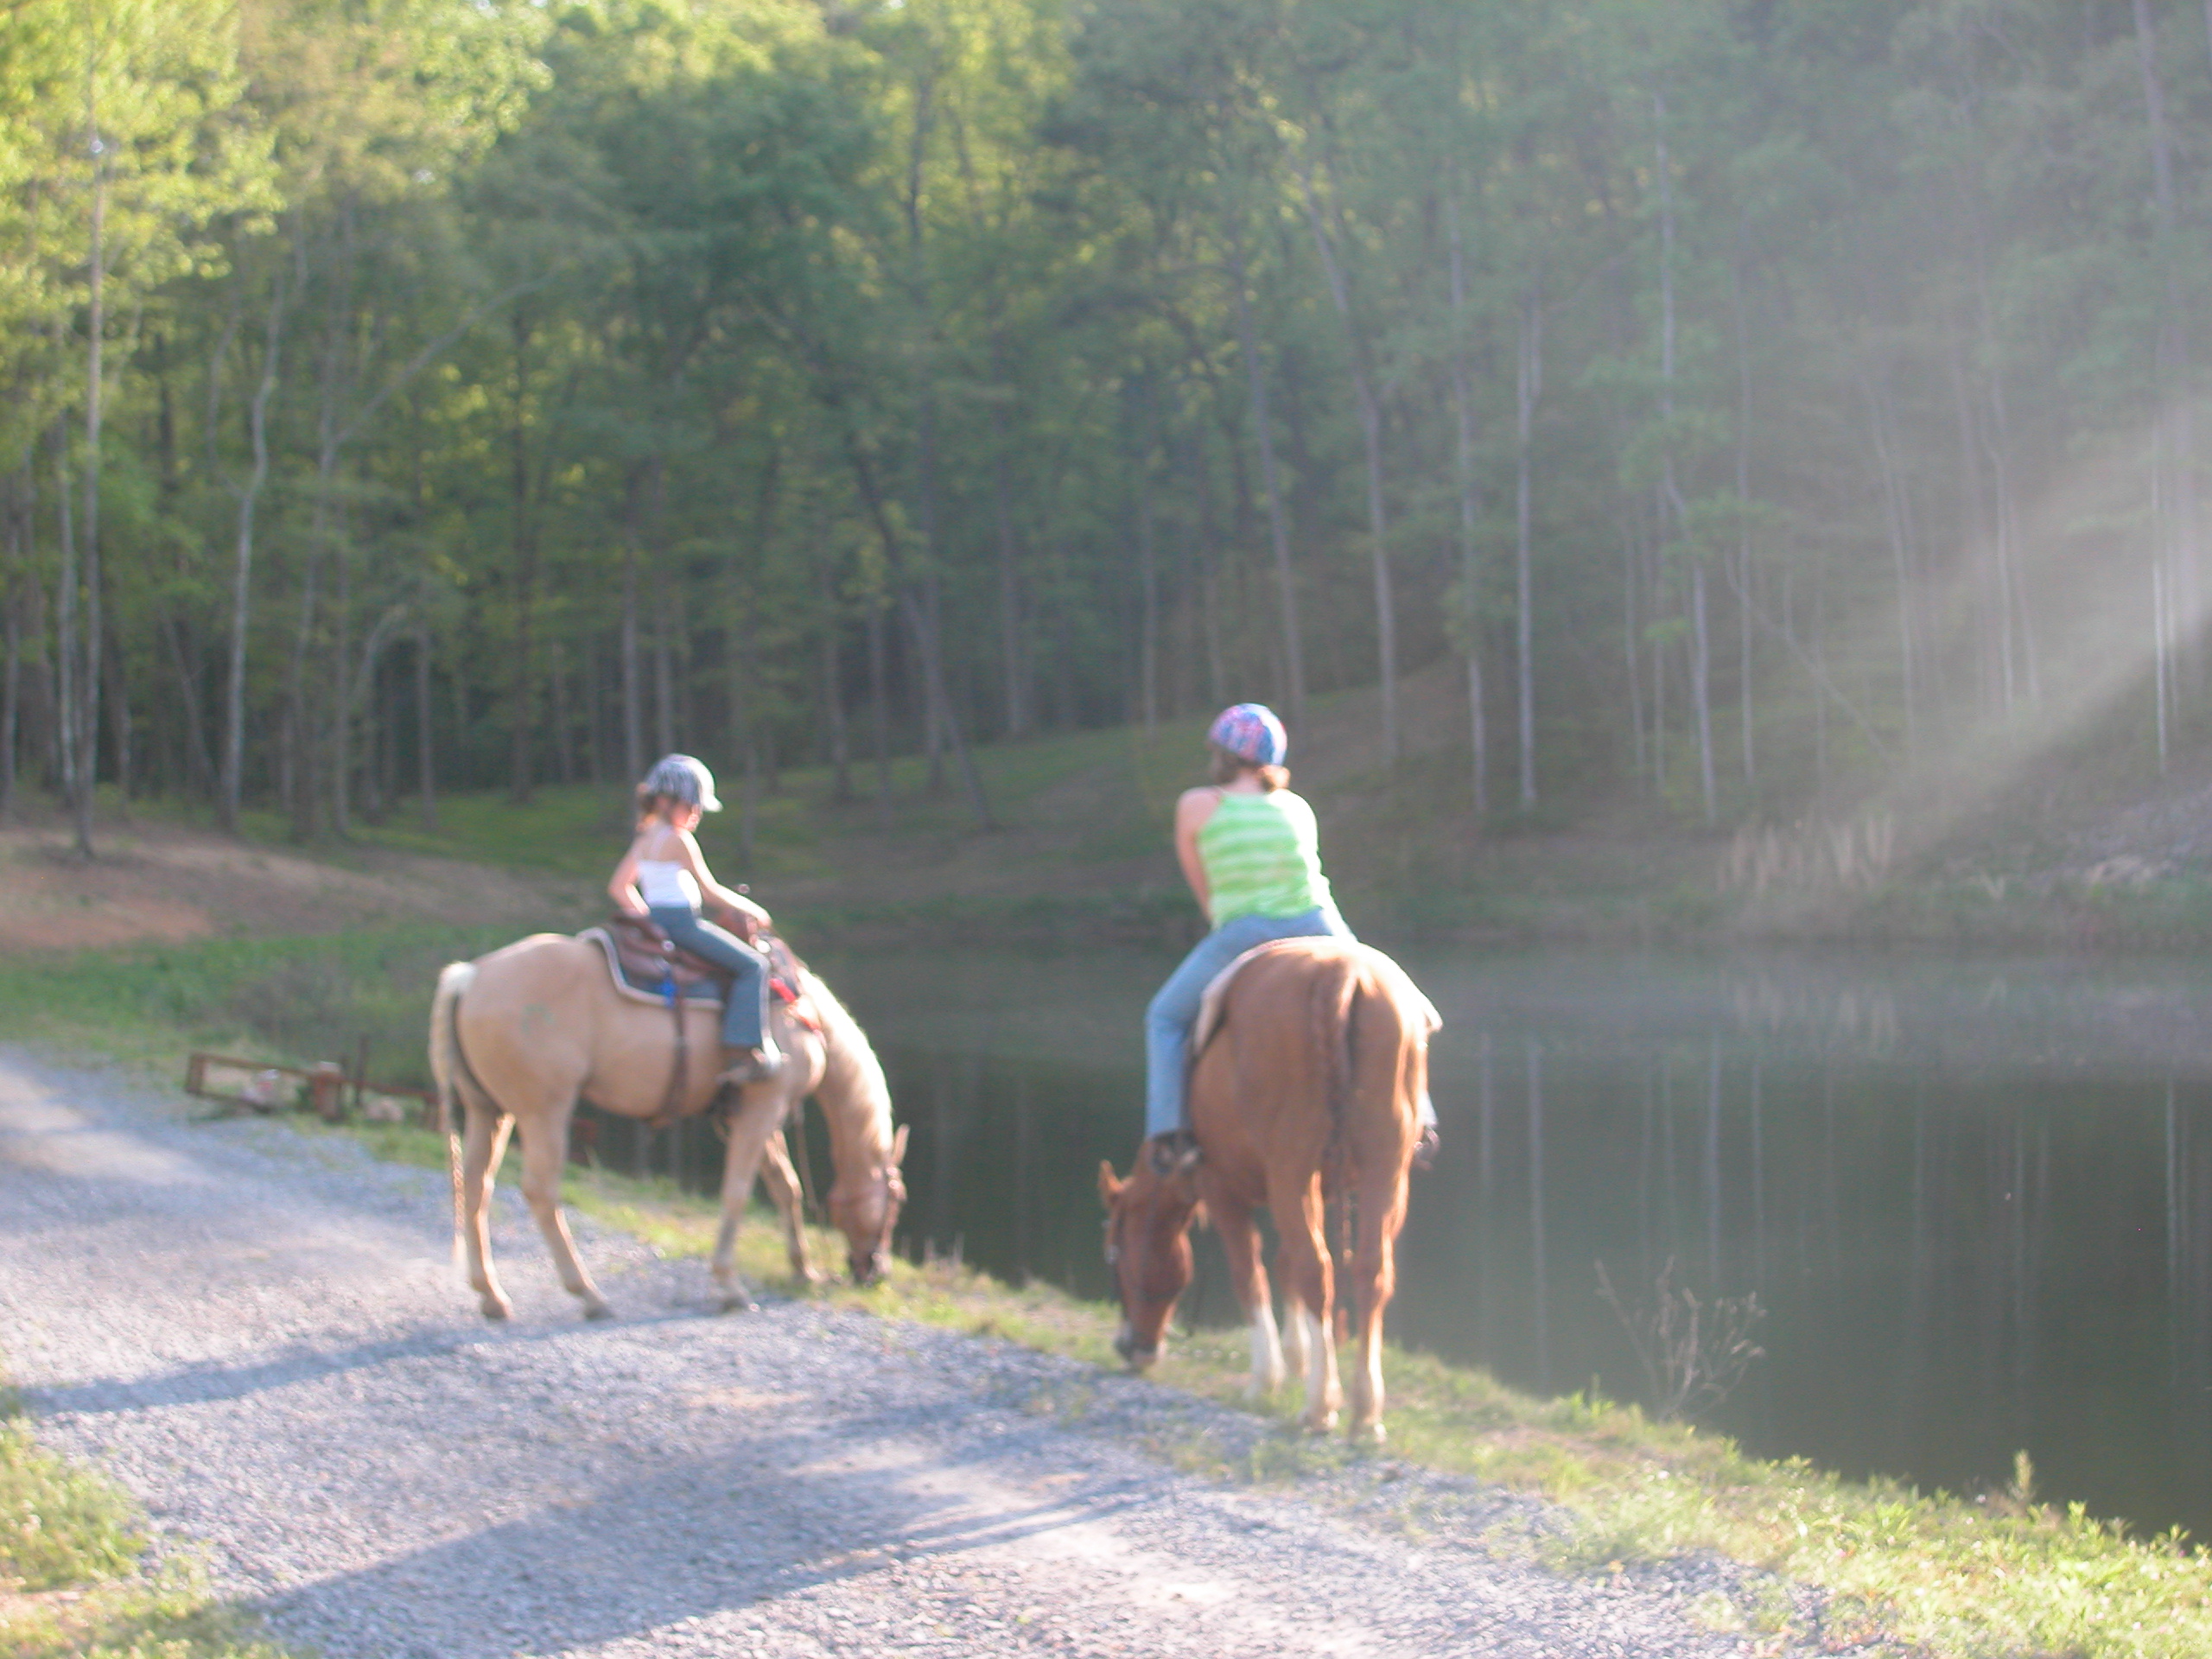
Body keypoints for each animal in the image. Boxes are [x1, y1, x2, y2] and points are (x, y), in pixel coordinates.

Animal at [427, 938, 902, 1327]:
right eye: (898, 1200)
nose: (875, 1272)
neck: (801, 1014)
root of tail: (470, 976)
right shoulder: (764, 1107)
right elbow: (738, 1192)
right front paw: (730, 1286)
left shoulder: (751, 1114)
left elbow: (786, 1187)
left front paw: (803, 1270)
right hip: (544, 1111)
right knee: (541, 1192)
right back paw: (589, 1295)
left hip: (489, 1110)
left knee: (476, 1186)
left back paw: (492, 1296)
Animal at [1101, 942, 1442, 1451]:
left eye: (1114, 1254)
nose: (1130, 1346)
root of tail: (1341, 973)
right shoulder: (1317, 1188)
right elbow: (1284, 1266)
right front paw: (1298, 1357)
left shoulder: (1221, 1187)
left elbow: (1251, 1274)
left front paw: (1267, 1379)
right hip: (1385, 1171)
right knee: (1367, 1270)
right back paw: (1364, 1411)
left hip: (1291, 1170)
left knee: (1316, 1269)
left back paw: (1319, 1406)